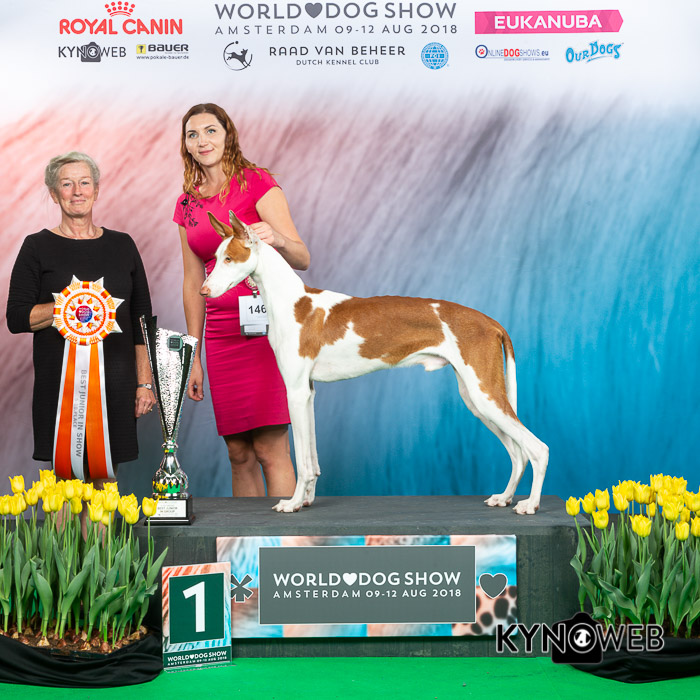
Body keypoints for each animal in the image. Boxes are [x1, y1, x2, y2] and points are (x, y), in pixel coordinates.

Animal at [201, 212, 549, 514]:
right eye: (215, 258)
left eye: (229, 259)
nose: (203, 291)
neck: (292, 302)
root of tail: (490, 321)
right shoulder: (308, 393)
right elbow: (312, 458)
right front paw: (308, 499)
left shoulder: (296, 393)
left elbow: (302, 460)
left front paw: (293, 502)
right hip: (476, 398)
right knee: (517, 452)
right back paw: (504, 497)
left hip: (484, 393)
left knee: (537, 448)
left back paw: (530, 504)